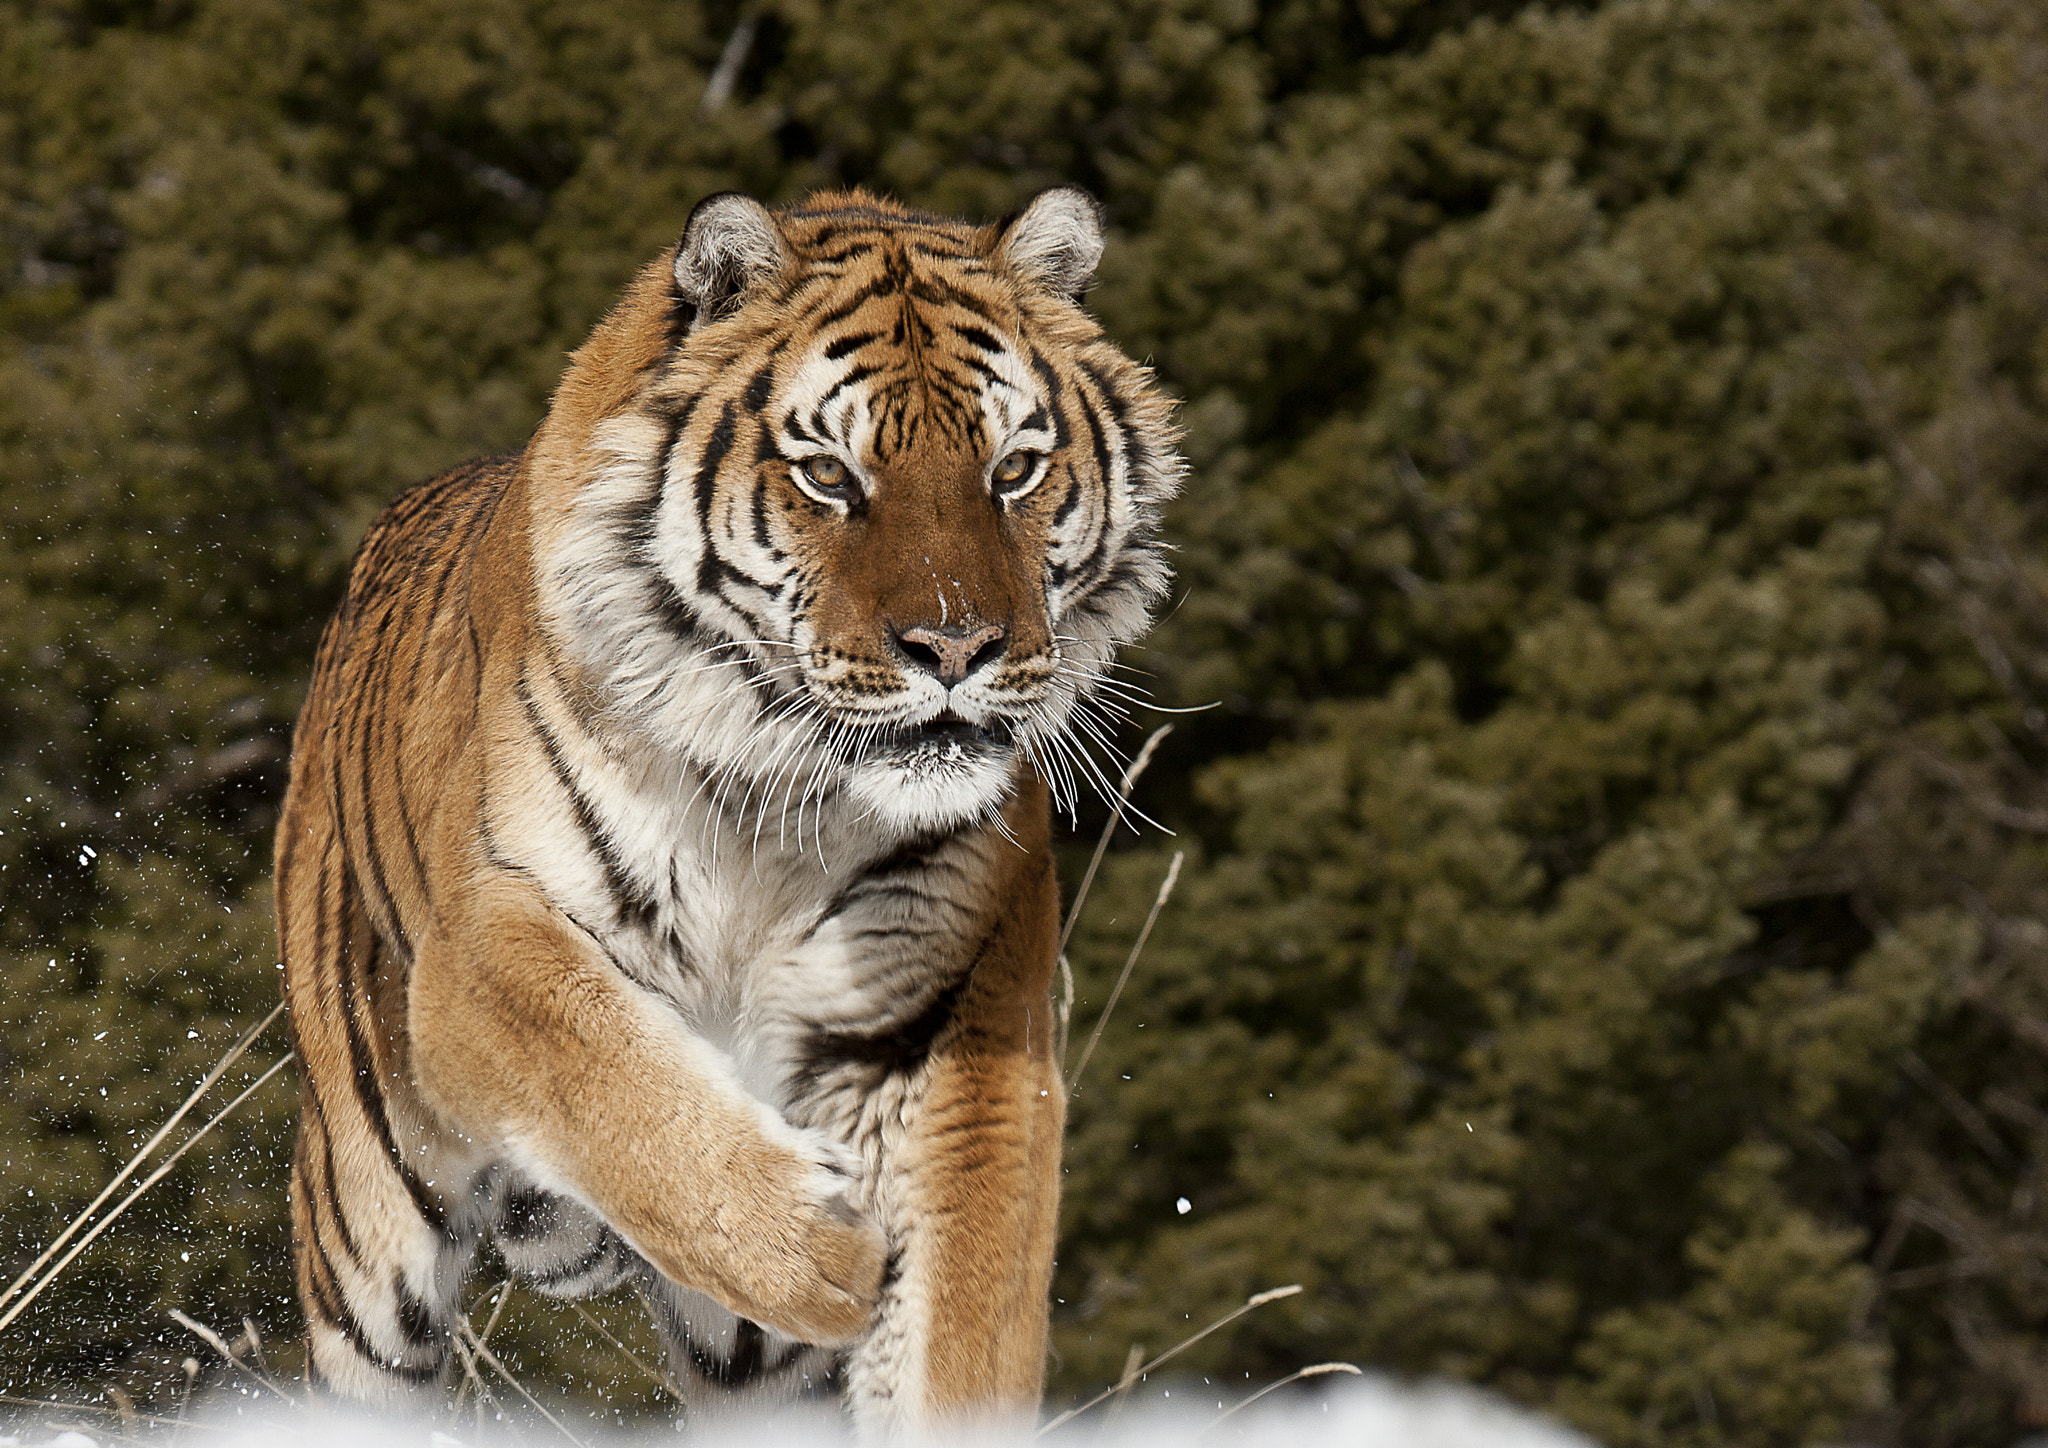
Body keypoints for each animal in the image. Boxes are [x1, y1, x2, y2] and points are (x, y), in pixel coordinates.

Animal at [273, 185, 1182, 1436]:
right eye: (831, 476)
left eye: (1012, 469)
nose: (956, 647)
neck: (779, 800)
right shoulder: (479, 946)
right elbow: (611, 1073)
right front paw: (821, 1248)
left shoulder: (961, 1023)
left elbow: (958, 1326)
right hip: (366, 1218)